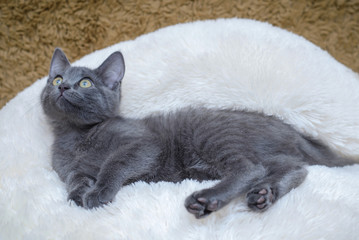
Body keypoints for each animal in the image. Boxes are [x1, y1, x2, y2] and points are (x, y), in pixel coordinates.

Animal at [40, 48, 356, 219]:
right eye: (56, 78)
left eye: (85, 83)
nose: (62, 86)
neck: (77, 136)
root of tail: (287, 127)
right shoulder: (70, 169)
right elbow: (76, 179)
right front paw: (77, 196)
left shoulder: (142, 143)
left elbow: (115, 163)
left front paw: (99, 192)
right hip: (266, 151)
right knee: (296, 169)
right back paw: (265, 194)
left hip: (212, 134)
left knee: (250, 168)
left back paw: (208, 199)